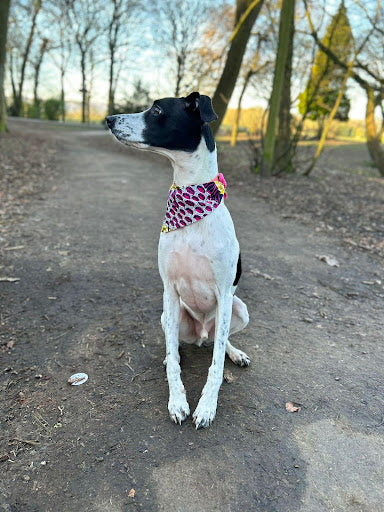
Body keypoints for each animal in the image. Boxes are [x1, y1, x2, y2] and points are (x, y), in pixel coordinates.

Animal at [106, 91, 249, 428]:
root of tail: (201, 336)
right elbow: (173, 362)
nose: (108, 119)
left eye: (157, 110)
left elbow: (216, 365)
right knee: (177, 345)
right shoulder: (169, 290)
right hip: (169, 316)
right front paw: (177, 401)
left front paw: (207, 406)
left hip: (238, 309)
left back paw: (234, 352)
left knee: (220, 342)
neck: (190, 207)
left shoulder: (224, 294)